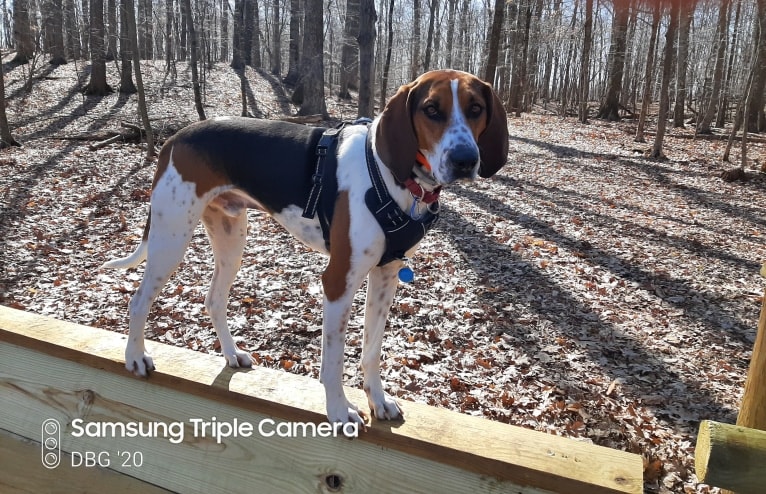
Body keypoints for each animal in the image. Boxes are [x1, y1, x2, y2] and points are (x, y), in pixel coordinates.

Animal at [103, 70, 510, 428]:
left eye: (475, 108)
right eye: (431, 109)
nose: (465, 160)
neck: (396, 177)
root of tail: (177, 136)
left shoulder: (386, 276)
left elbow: (371, 351)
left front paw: (377, 401)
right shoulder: (338, 280)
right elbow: (333, 360)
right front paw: (339, 411)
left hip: (231, 239)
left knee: (213, 300)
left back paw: (231, 354)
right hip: (170, 239)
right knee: (138, 301)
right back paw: (135, 357)